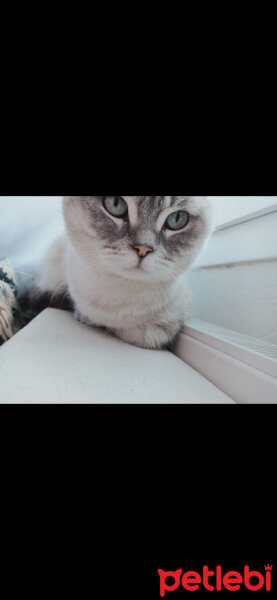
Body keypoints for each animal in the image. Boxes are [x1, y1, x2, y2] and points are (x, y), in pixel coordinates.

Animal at [35, 196, 211, 346]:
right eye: (116, 203)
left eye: (177, 219)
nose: (143, 249)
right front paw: (85, 317)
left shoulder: (165, 327)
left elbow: (142, 334)